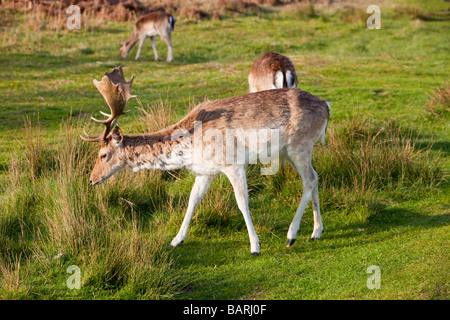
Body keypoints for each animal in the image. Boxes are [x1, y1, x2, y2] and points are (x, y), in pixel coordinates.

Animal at [81, 67, 330, 255]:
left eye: (103, 155)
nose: (91, 180)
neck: (190, 145)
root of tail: (327, 106)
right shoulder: (204, 170)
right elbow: (192, 200)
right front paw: (176, 240)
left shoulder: (232, 163)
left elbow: (242, 202)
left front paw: (255, 246)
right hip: (292, 152)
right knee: (315, 178)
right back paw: (316, 232)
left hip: (299, 146)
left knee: (309, 180)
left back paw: (291, 236)